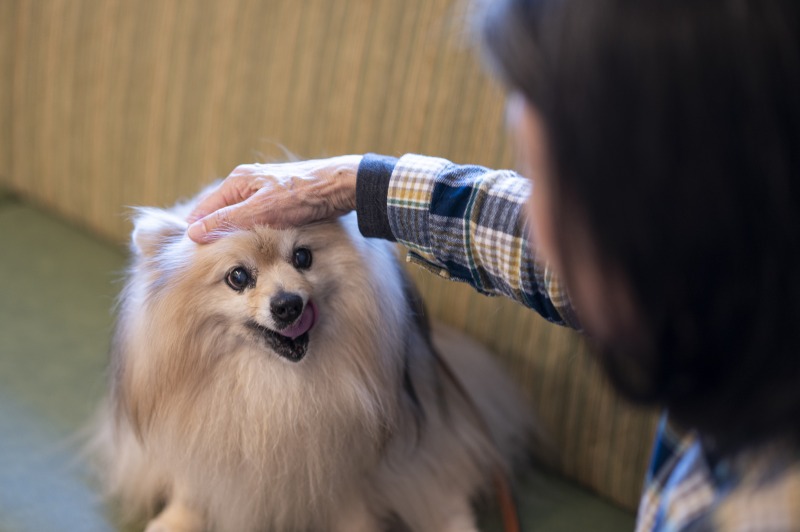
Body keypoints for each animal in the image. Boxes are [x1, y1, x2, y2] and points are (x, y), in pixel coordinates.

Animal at [95, 189, 532, 528]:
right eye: (238, 277)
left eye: (303, 257)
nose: (288, 304)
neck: (273, 382)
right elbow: (190, 492)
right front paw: (173, 522)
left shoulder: (349, 466)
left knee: (445, 492)